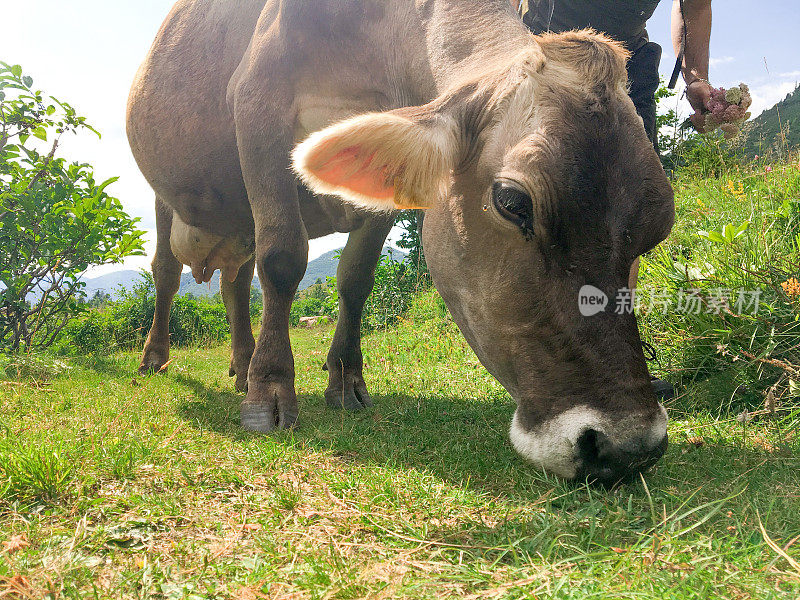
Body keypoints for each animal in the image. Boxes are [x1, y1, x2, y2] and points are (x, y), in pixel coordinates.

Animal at [130, 0, 676, 486]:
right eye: (512, 201)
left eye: (659, 227)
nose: (625, 446)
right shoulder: (257, 102)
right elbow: (283, 259)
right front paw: (269, 393)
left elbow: (356, 279)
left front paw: (345, 380)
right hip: (166, 198)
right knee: (168, 273)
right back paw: (157, 358)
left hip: (239, 218)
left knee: (235, 284)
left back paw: (242, 364)